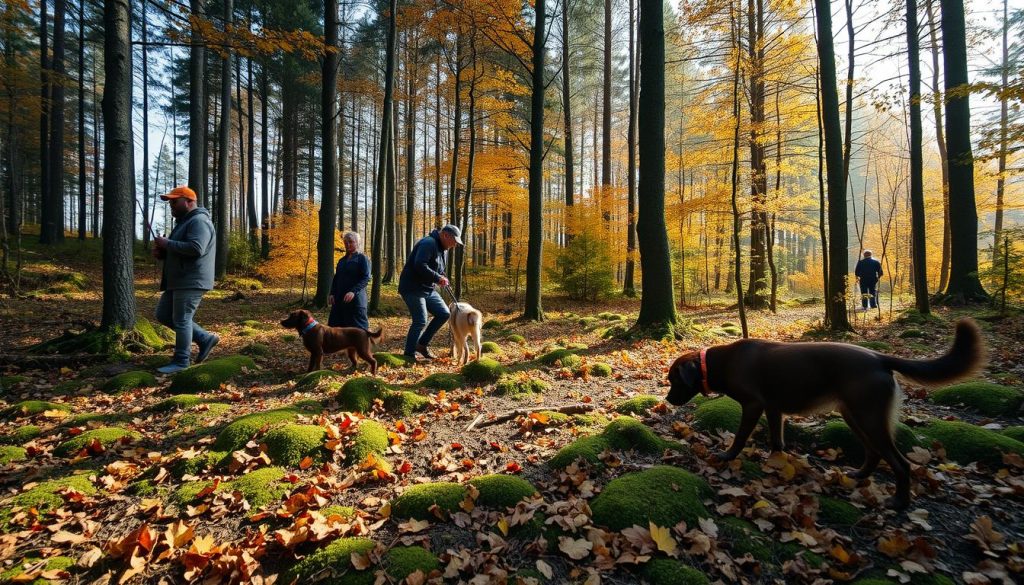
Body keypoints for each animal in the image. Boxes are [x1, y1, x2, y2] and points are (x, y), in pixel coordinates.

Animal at [663, 319, 983, 508]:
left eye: (674, 380)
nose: (667, 399)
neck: (719, 363)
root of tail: (879, 358)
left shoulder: (753, 405)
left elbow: (741, 437)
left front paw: (727, 456)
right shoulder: (774, 408)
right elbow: (777, 441)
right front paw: (777, 464)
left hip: (869, 417)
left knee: (901, 463)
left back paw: (899, 503)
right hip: (854, 415)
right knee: (873, 453)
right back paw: (859, 475)